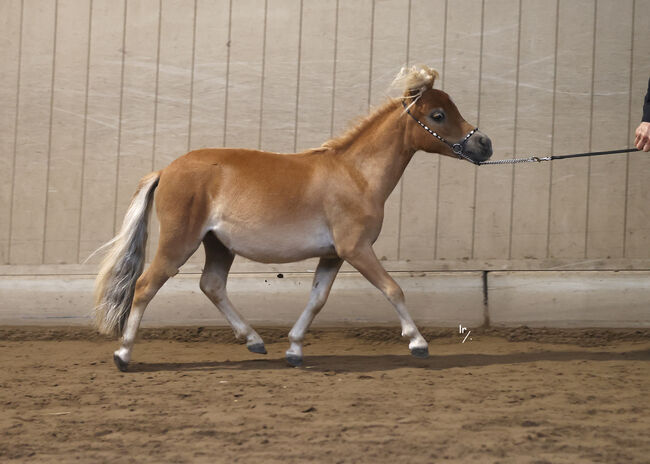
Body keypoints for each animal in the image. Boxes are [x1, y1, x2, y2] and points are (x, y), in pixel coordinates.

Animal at [93, 65, 493, 371]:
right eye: (437, 115)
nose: (484, 144)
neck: (356, 175)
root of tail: (166, 170)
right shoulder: (357, 249)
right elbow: (393, 288)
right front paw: (417, 343)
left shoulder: (333, 256)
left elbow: (317, 300)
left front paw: (294, 349)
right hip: (180, 242)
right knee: (146, 286)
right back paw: (123, 355)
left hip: (218, 245)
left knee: (212, 285)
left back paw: (254, 340)